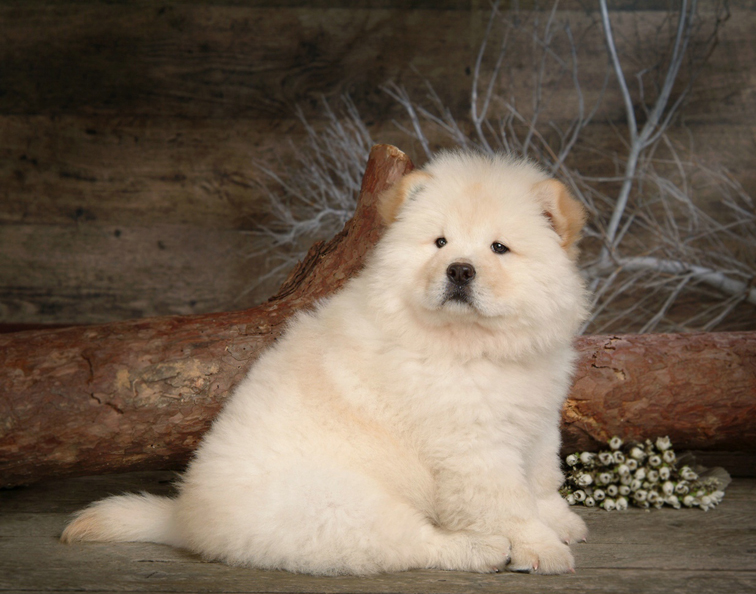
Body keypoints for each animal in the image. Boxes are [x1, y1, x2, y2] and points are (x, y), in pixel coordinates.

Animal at [62, 150, 589, 575]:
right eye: (439, 243)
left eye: (499, 248)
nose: (460, 269)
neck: (478, 344)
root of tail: (183, 516)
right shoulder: (473, 448)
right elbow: (507, 503)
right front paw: (542, 549)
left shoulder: (537, 419)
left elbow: (541, 477)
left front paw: (562, 522)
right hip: (343, 504)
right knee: (414, 544)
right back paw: (482, 550)